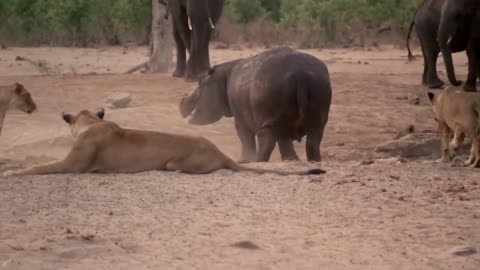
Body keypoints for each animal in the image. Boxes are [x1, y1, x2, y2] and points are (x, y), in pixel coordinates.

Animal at [178, 46, 332, 162]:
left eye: (200, 83)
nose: (182, 100)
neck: (223, 77)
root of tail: (301, 74)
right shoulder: (279, 122)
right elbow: (284, 142)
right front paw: (291, 160)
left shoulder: (241, 119)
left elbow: (245, 138)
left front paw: (245, 160)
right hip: (315, 101)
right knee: (313, 140)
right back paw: (314, 161)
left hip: (269, 105)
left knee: (266, 139)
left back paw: (258, 161)